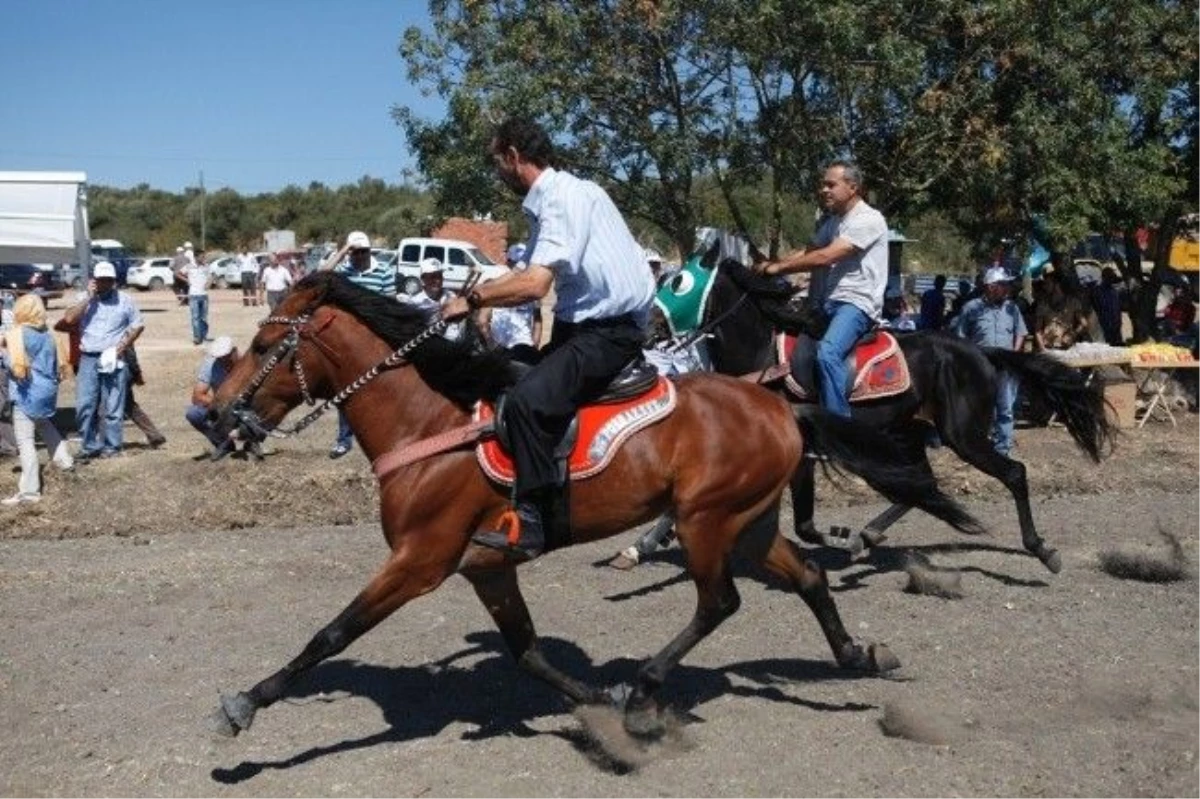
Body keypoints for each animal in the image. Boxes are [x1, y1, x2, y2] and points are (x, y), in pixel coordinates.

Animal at [211, 271, 979, 739]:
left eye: (262, 343)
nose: (217, 414)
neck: (428, 422)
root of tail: (781, 406)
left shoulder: (420, 559)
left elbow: (332, 632)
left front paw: (246, 701)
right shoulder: (485, 566)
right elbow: (527, 650)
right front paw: (592, 699)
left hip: (705, 519)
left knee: (719, 601)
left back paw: (646, 687)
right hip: (750, 522)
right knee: (810, 577)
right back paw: (858, 654)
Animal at [700, 251, 1113, 568]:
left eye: (685, 282)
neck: (763, 358)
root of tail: (980, 351)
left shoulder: (801, 453)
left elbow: (804, 524)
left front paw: (839, 538)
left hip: (961, 435)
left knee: (1012, 473)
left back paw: (1041, 549)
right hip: (907, 431)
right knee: (921, 485)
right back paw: (868, 535)